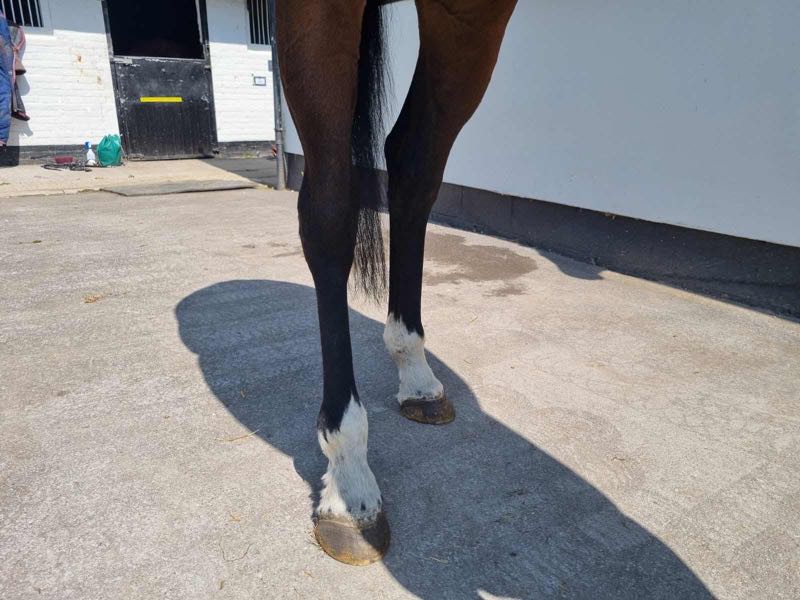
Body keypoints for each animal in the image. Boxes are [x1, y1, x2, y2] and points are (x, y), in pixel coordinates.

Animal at [276, 0, 518, 565]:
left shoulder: (473, 16)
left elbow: (415, 169)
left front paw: (413, 370)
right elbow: (328, 213)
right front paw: (349, 481)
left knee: (411, 163)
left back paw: (416, 372)